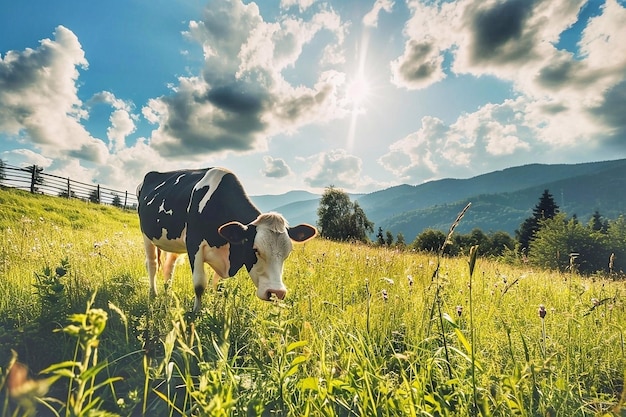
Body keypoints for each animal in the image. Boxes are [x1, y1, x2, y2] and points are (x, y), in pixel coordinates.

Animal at [134, 167, 314, 310]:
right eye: (255, 249)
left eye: (287, 253)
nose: (276, 292)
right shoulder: (194, 244)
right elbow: (199, 284)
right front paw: (196, 314)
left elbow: (219, 287)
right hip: (146, 234)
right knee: (152, 264)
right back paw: (154, 294)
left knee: (169, 266)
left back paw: (167, 291)